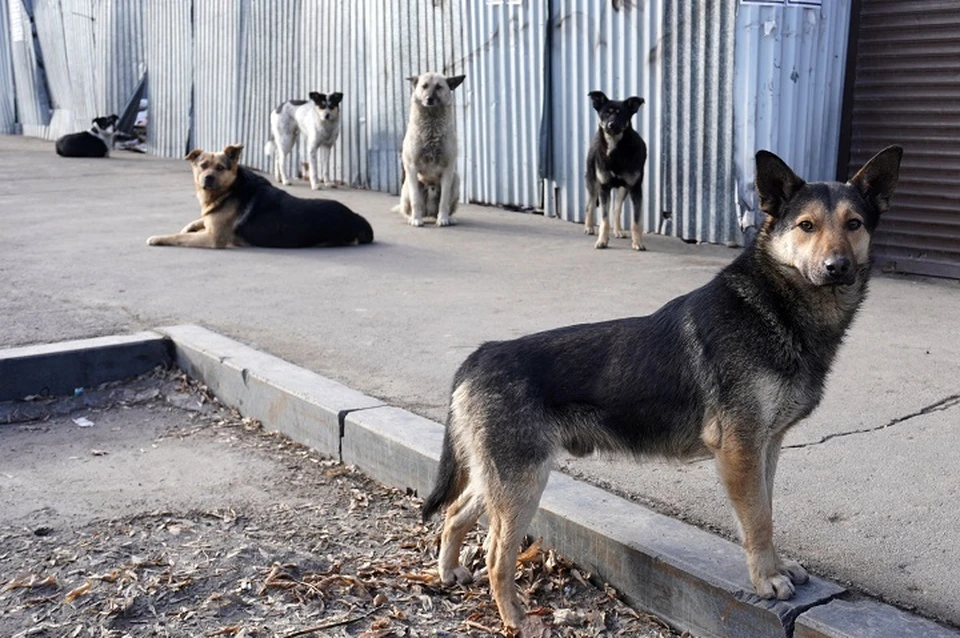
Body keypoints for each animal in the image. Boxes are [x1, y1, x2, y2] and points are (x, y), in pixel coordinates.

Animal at [144, 145, 374, 250]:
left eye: (220, 168)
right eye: (203, 165)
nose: (207, 178)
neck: (231, 189)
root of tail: (356, 217)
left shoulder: (213, 238)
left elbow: (177, 237)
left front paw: (158, 237)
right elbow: (197, 221)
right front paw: (189, 225)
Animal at [392, 73, 464, 228]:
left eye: (439, 87)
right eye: (424, 86)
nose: (429, 99)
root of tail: (429, 213)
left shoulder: (448, 169)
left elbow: (444, 200)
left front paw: (443, 219)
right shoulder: (411, 167)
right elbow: (415, 200)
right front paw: (416, 219)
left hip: (456, 179)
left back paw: (449, 218)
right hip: (407, 187)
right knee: (408, 208)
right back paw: (413, 217)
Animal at [424, 146, 904, 636]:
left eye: (854, 224)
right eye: (806, 225)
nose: (837, 267)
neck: (773, 306)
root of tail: (481, 354)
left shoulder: (765, 448)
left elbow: (767, 512)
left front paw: (776, 567)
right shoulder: (740, 451)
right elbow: (757, 520)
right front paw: (766, 580)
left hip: (501, 479)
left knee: (455, 512)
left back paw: (449, 571)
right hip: (522, 485)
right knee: (496, 556)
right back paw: (517, 619)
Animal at [580, 91, 648, 251]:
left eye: (621, 114)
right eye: (606, 113)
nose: (611, 125)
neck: (616, 150)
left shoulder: (635, 188)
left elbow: (636, 221)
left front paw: (637, 242)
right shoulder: (604, 187)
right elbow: (604, 219)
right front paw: (602, 241)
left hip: (623, 188)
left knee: (616, 209)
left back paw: (618, 230)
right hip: (593, 181)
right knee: (590, 204)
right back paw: (589, 227)